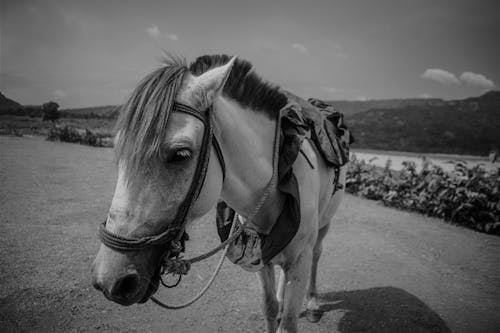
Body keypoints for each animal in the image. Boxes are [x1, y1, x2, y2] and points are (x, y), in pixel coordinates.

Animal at [91, 53, 348, 330]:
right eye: (118, 147)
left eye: (181, 154)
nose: (109, 279)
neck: (279, 175)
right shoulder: (260, 255)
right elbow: (269, 307)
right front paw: (276, 307)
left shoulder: (300, 260)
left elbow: (289, 322)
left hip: (324, 226)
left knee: (318, 255)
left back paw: (313, 304)